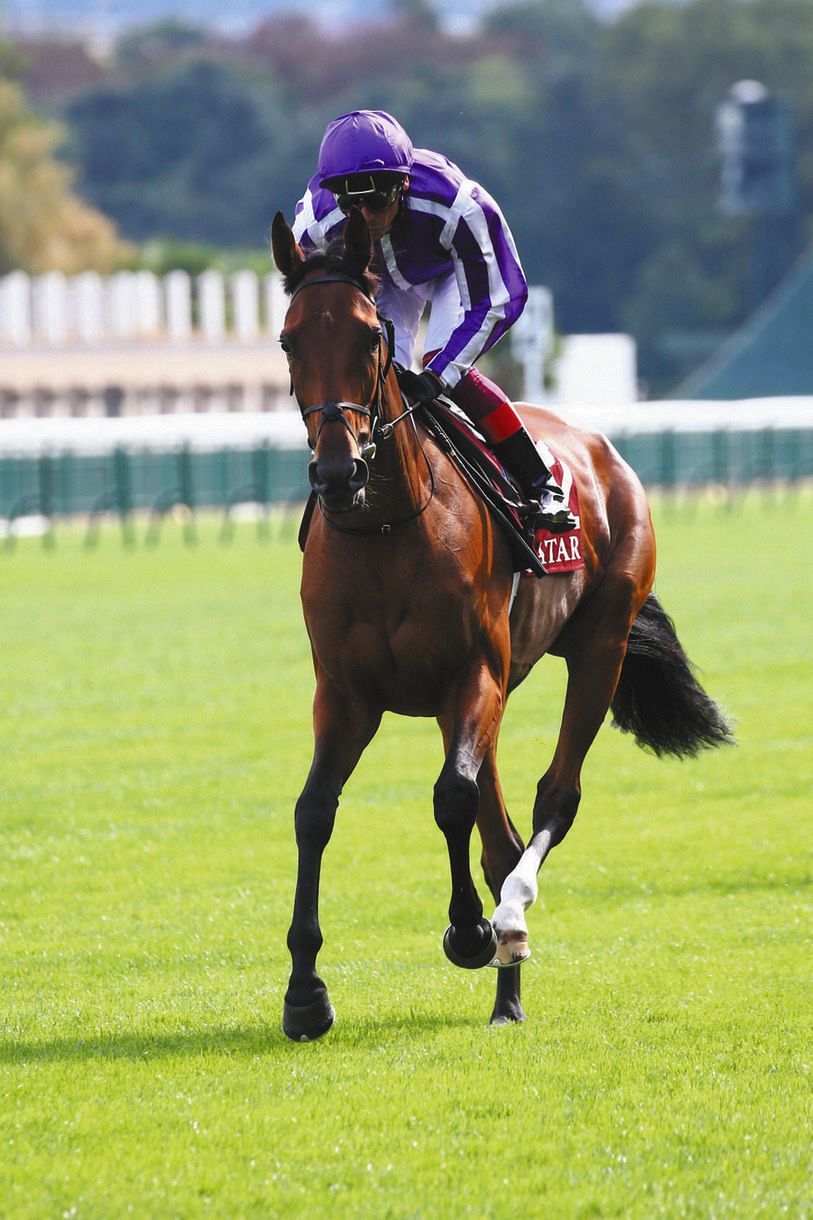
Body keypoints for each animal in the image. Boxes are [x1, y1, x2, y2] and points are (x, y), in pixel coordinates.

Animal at [271, 208, 733, 1041]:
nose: (338, 471)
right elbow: (314, 811)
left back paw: (508, 925)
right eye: (290, 339)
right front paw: (304, 992)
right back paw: (505, 993)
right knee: (500, 837)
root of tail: (603, 452)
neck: (385, 528)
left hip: (597, 646)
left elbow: (450, 800)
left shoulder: (472, 674)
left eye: (371, 337)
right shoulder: (346, 694)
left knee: (553, 801)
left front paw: (467, 931)